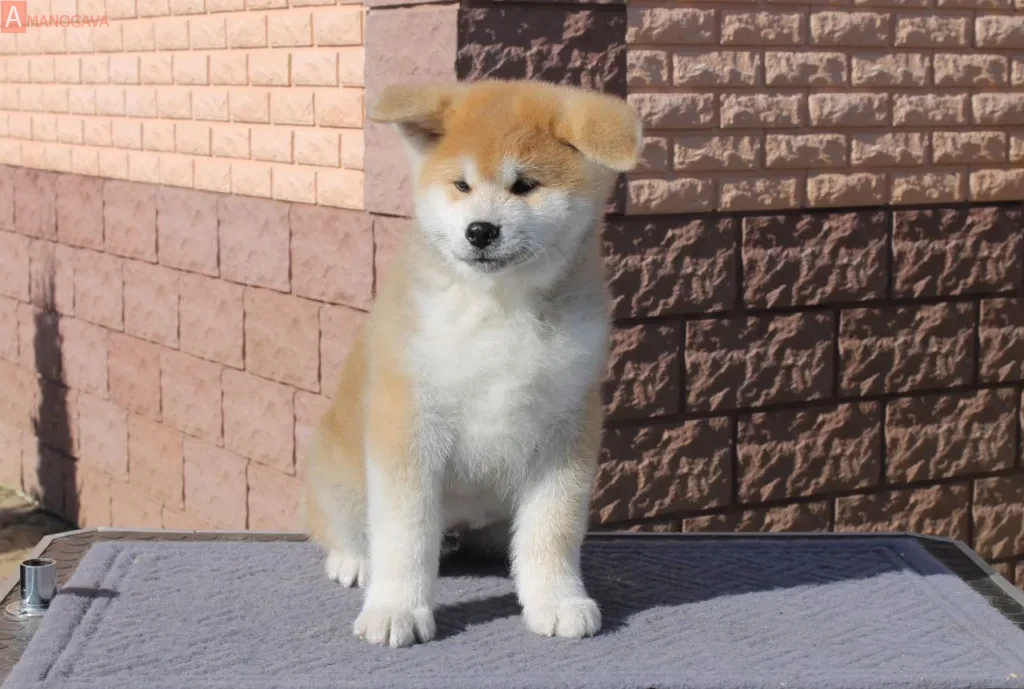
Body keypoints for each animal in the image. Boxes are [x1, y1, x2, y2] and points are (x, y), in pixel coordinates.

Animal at [302, 79, 642, 648]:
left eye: (524, 185)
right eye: (461, 185)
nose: (481, 230)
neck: (499, 305)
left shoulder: (568, 424)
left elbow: (552, 530)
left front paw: (556, 600)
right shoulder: (410, 420)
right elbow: (405, 534)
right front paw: (396, 608)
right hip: (338, 471)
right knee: (344, 526)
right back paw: (355, 560)